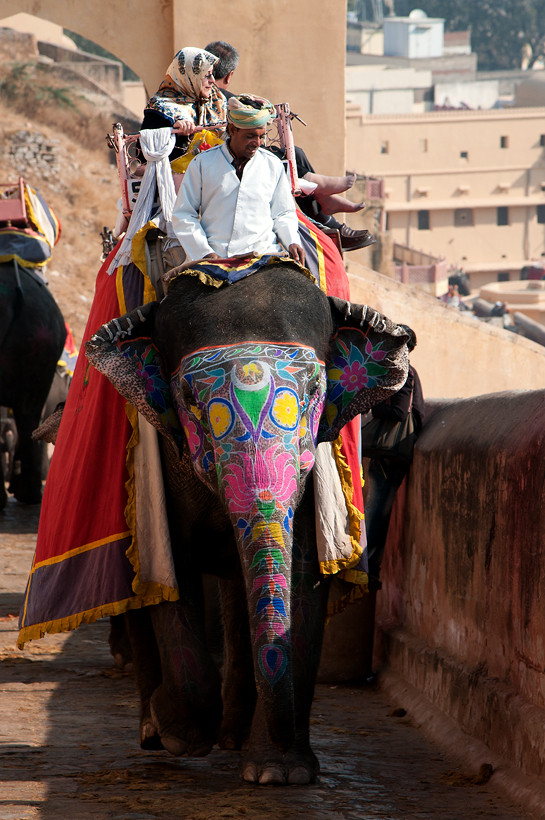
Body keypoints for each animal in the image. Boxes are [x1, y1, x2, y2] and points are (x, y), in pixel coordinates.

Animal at [86, 262, 408, 780]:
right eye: (190, 398)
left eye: (315, 392)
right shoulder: (163, 459)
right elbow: (172, 571)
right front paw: (180, 735)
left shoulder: (314, 470)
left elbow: (305, 572)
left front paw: (280, 774)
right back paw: (156, 731)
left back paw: (233, 739)